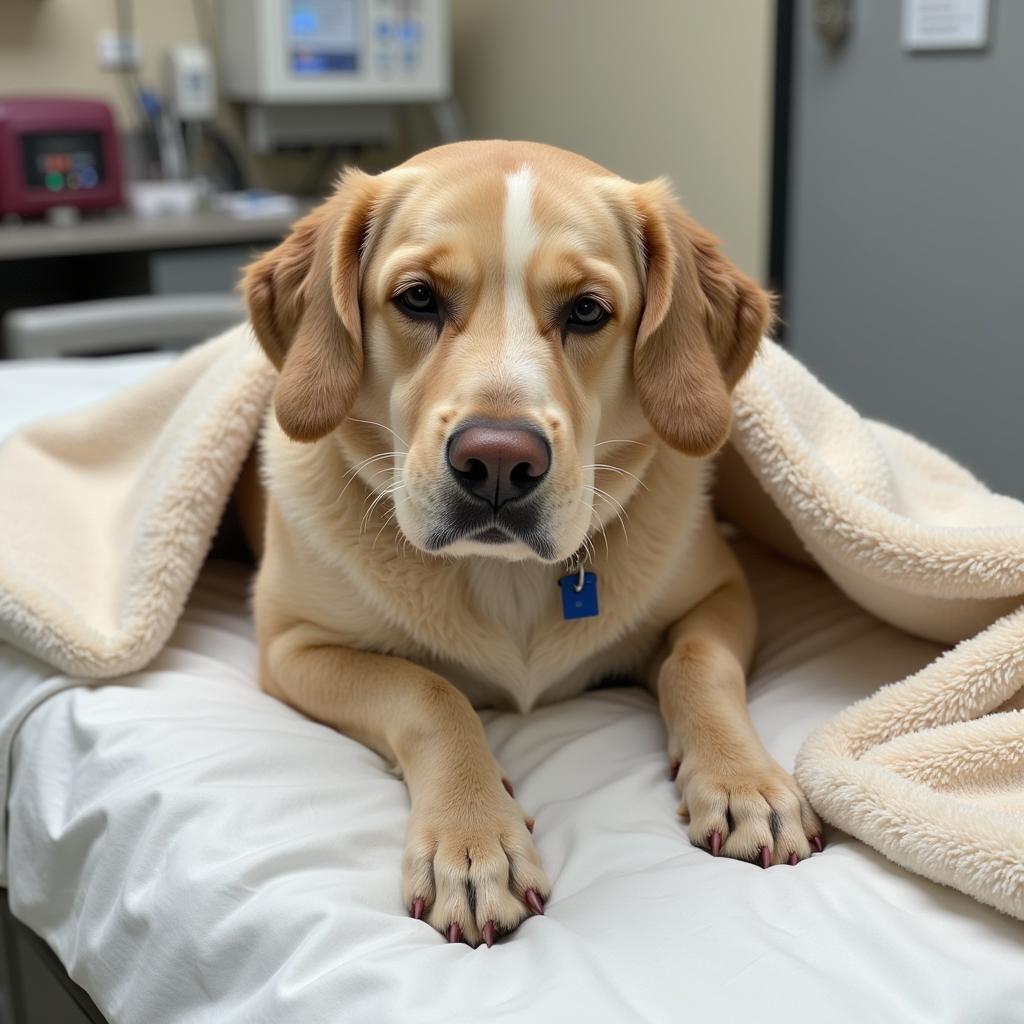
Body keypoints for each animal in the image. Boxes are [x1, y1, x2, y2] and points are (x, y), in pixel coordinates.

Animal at [239, 140, 823, 946]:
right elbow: (431, 691)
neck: (503, 572)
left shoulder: (724, 592)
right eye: (417, 299)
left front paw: (743, 780)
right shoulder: (292, 647)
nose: (496, 460)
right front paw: (472, 838)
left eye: (587, 310)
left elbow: (697, 664)